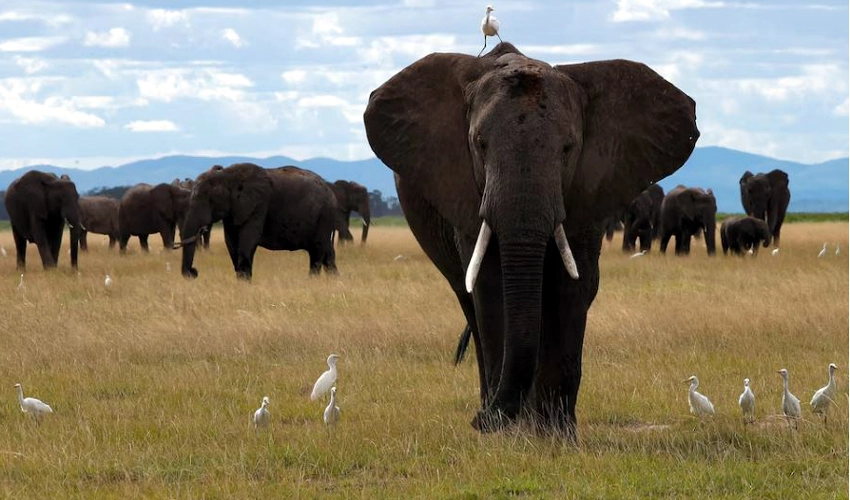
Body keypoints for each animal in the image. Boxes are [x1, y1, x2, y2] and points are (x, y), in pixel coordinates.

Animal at [176, 162, 338, 280]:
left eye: (210, 200)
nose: (194, 272)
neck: (228, 175)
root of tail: (330, 190)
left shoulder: (258, 205)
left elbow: (247, 242)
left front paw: (245, 283)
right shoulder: (233, 212)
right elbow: (231, 244)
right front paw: (241, 282)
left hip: (324, 215)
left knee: (317, 251)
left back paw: (312, 281)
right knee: (327, 253)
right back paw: (335, 281)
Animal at [362, 42, 700, 438]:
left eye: (568, 148)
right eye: (479, 144)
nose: (479, 421)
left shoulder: (589, 190)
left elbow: (570, 287)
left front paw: (556, 435)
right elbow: (491, 287)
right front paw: (508, 435)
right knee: (469, 301)